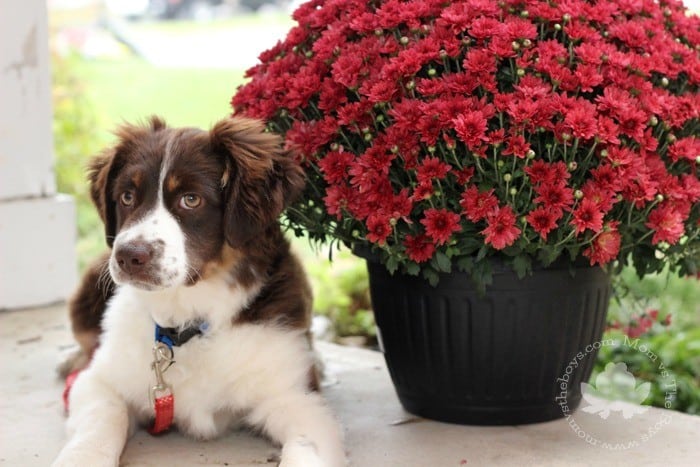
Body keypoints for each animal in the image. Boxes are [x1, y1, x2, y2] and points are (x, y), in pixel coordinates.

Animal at [52, 117, 344, 467]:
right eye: (127, 197)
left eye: (191, 199)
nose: (128, 256)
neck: (187, 318)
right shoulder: (100, 381)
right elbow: (102, 419)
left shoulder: (299, 399)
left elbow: (306, 448)